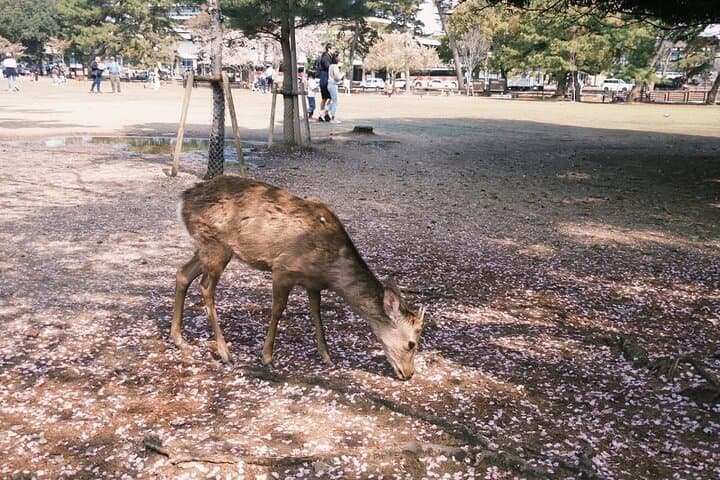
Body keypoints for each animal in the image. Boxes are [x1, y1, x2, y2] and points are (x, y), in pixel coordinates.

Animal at [171, 176, 425, 380]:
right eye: (412, 343)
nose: (408, 374)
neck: (331, 268)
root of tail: (182, 200)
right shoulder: (283, 268)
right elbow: (277, 311)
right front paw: (267, 358)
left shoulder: (313, 284)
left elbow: (317, 315)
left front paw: (327, 356)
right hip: (217, 245)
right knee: (206, 287)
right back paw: (225, 353)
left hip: (206, 247)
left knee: (182, 273)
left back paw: (178, 339)